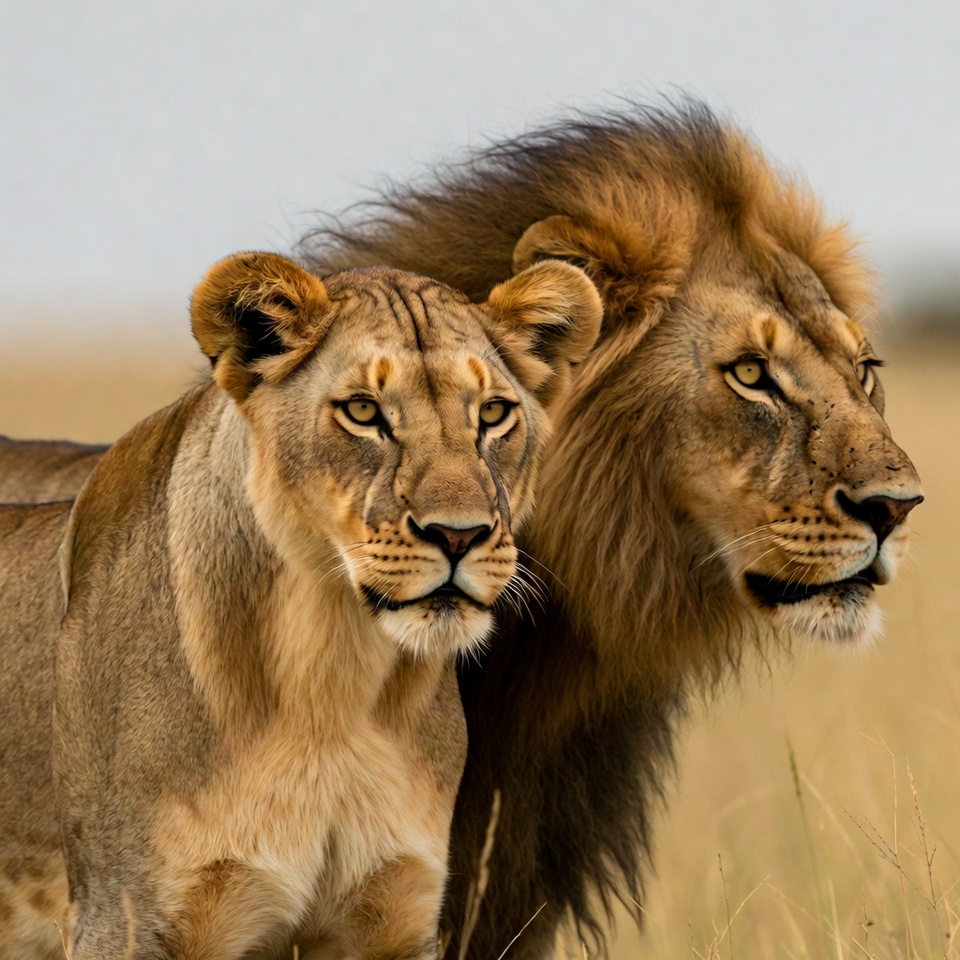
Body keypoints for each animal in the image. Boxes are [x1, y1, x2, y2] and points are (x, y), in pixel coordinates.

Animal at [0, 252, 602, 959]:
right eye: (364, 411)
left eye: (494, 413)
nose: (460, 535)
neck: (331, 678)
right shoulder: (122, 917)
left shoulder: (397, 920)